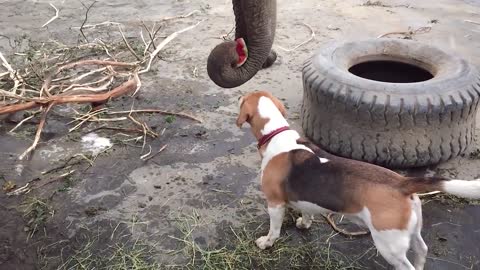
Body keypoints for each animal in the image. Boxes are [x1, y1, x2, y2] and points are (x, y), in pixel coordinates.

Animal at [236, 90, 480, 270]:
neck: (276, 133)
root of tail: (402, 183)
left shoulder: (275, 203)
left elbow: (274, 229)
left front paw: (266, 243)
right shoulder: (304, 199)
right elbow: (306, 212)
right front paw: (304, 224)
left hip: (389, 244)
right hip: (411, 232)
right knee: (422, 251)